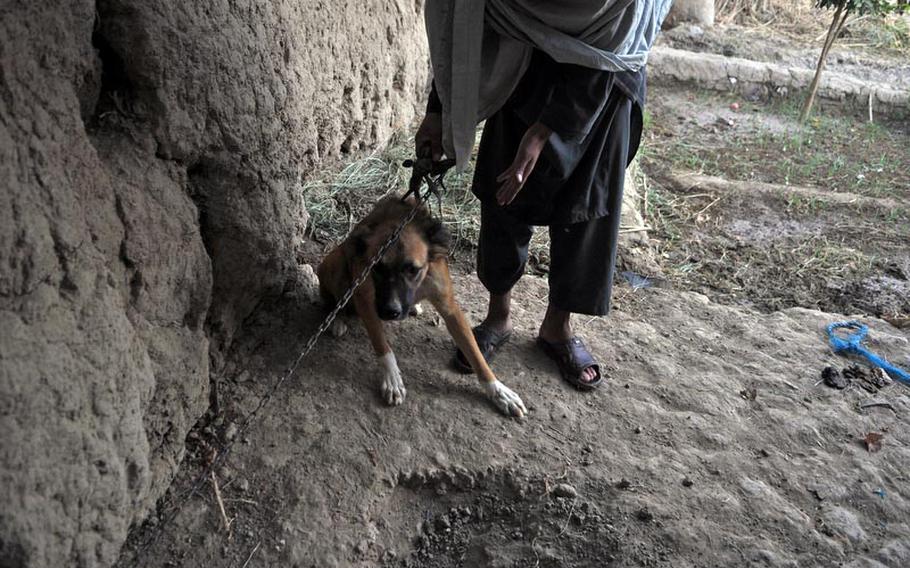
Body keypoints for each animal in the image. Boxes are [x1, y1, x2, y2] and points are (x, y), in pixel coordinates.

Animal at [318, 196, 528, 418]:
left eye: (413, 269)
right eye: (377, 267)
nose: (389, 312)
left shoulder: (450, 308)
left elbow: (475, 354)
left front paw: (498, 391)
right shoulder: (366, 300)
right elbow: (382, 346)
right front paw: (392, 378)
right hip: (337, 265)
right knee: (333, 299)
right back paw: (337, 319)